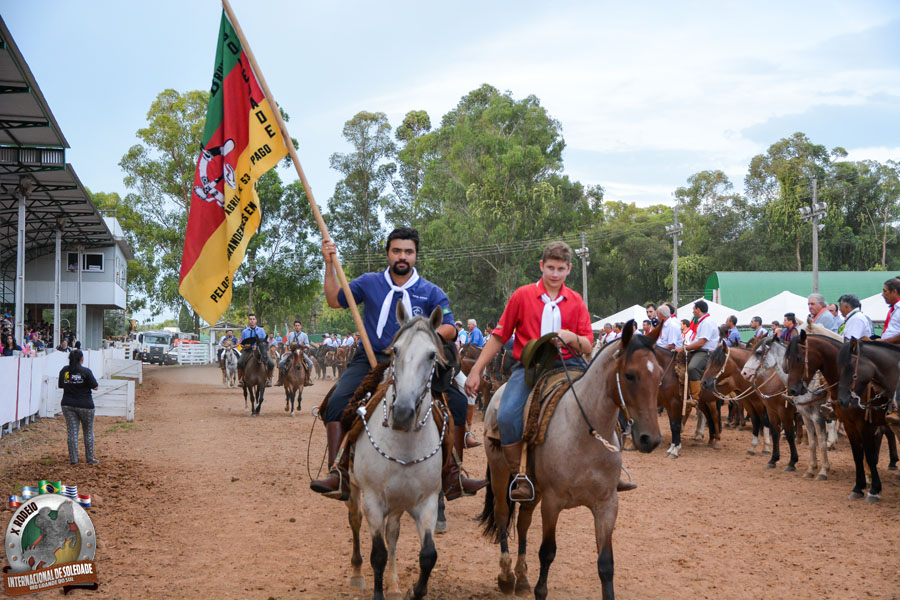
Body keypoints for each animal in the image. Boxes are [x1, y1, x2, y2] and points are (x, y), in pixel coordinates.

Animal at [347, 304, 447, 600]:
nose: (402, 413)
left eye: (432, 354)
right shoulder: (373, 501)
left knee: (393, 533)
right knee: (355, 521)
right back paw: (357, 574)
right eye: (396, 350)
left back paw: (393, 584)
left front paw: (414, 591)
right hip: (355, 490)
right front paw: (378, 592)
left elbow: (428, 555)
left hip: (399, 502)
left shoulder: (426, 502)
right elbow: (377, 554)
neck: (404, 444)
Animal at [479, 320, 662, 600]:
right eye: (630, 375)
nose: (649, 439)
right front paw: (540, 590)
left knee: (523, 522)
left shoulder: (607, 505)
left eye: (661, 375)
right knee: (502, 515)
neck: (585, 434)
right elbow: (547, 552)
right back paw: (507, 576)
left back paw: (522, 578)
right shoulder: (552, 503)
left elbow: (606, 564)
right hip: (500, 472)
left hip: (533, 488)